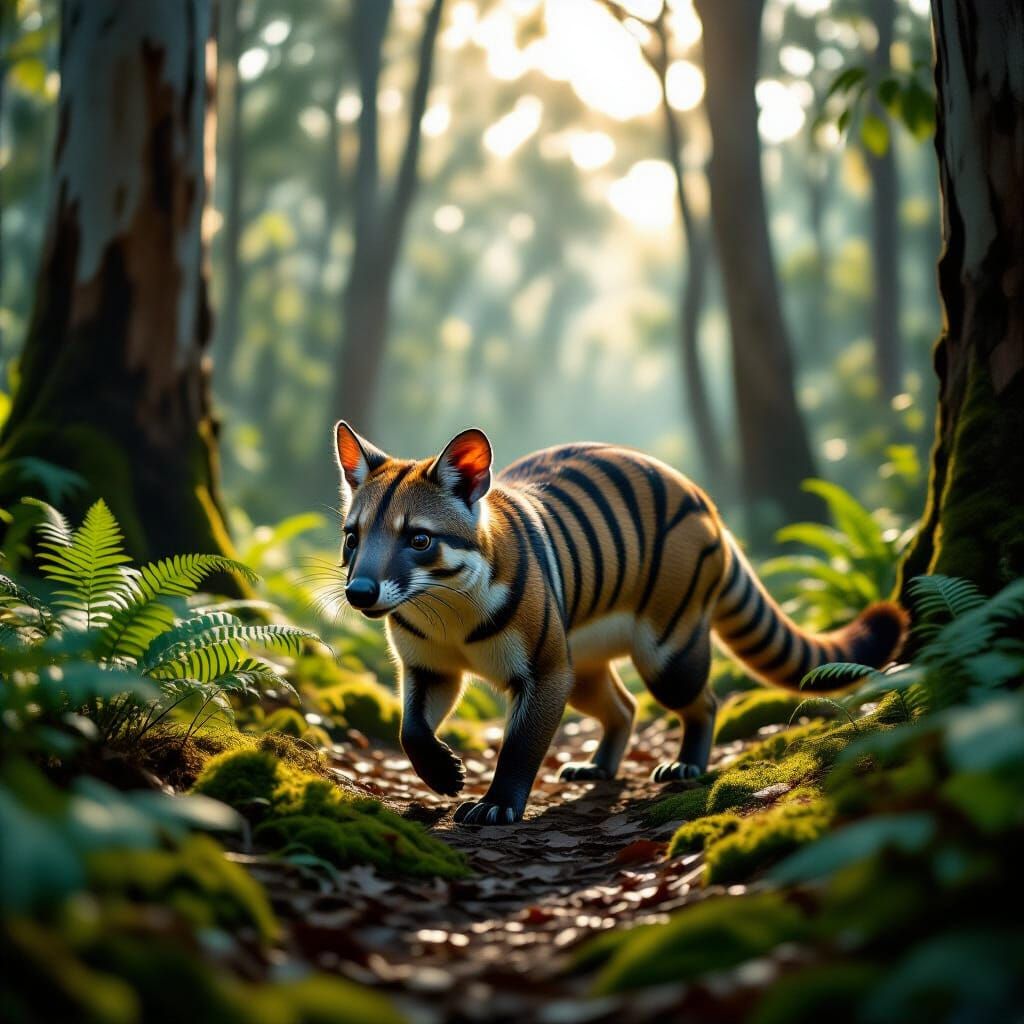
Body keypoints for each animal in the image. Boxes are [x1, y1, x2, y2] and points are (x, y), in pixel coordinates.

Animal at [332, 422, 907, 825]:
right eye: (353, 536)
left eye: (419, 539)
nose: (359, 592)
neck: (444, 608)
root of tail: (704, 499)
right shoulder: (429, 669)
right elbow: (410, 728)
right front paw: (445, 774)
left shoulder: (544, 670)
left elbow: (521, 744)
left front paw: (495, 804)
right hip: (583, 665)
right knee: (624, 706)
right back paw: (598, 766)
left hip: (666, 654)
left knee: (703, 701)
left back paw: (686, 765)